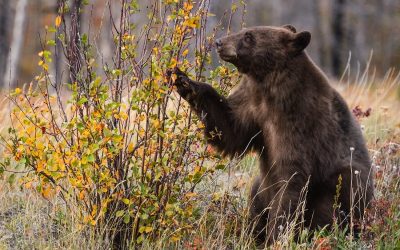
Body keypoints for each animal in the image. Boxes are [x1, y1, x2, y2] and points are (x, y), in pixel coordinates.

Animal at [170, 24, 374, 243]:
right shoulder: (252, 105)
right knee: (256, 195)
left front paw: (276, 235)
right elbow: (229, 128)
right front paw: (182, 79)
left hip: (343, 181)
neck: (269, 86)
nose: (219, 42)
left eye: (248, 36)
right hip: (261, 185)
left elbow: (290, 177)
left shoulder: (298, 122)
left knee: (334, 200)